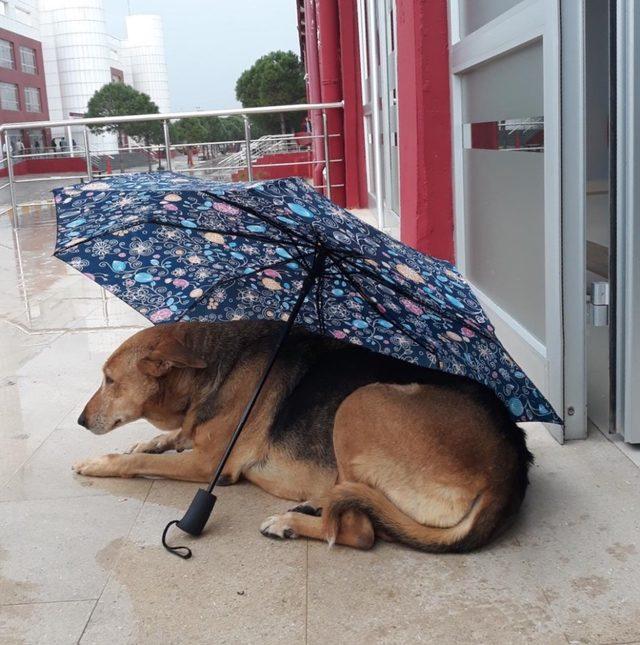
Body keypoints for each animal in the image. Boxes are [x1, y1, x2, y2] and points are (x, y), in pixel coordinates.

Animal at [75, 320, 532, 552]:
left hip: (358, 403)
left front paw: (98, 462)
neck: (214, 366)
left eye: (109, 380)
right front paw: (147, 440)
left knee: (363, 532)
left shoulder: (210, 465)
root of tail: (509, 472)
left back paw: (290, 523)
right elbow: (163, 441)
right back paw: (313, 507)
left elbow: (139, 461)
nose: (80, 421)